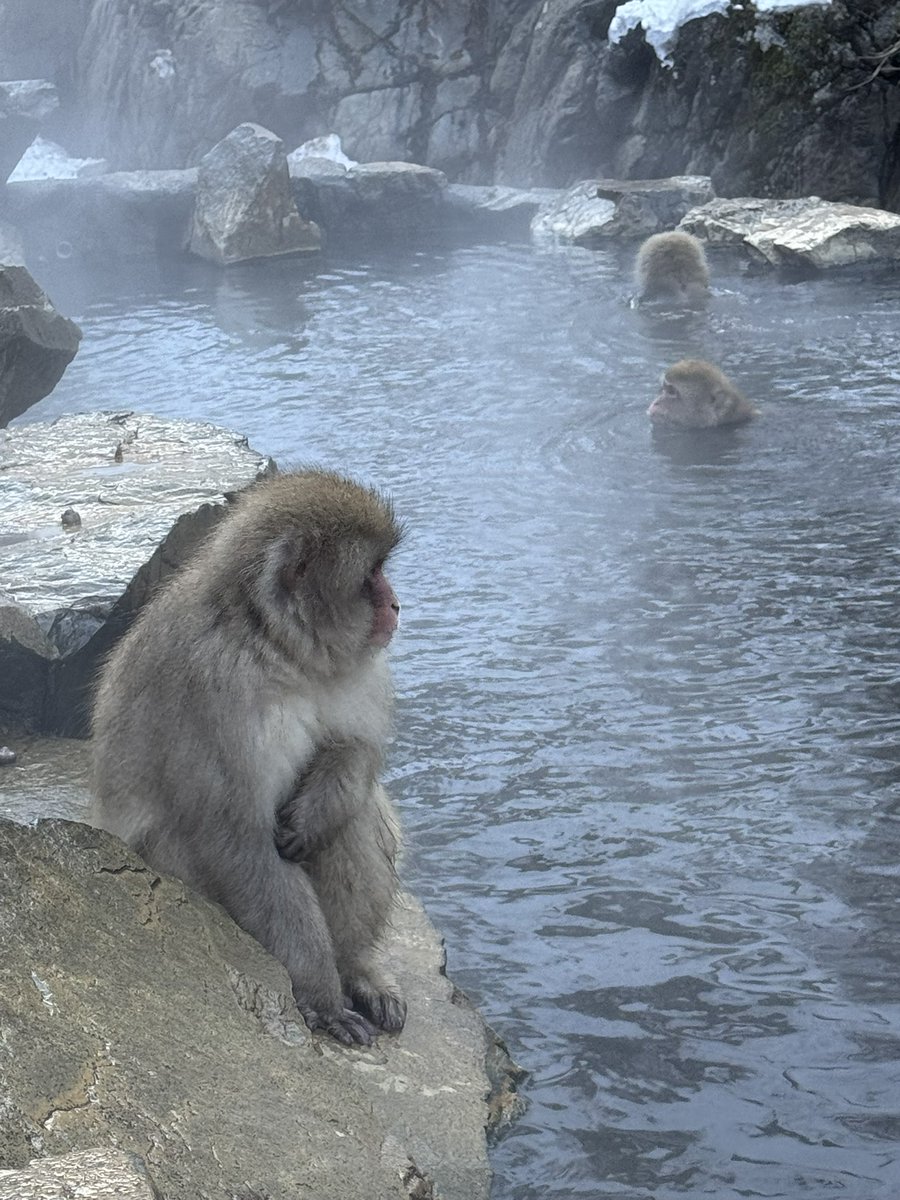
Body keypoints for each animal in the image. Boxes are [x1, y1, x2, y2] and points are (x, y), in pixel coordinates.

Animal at [91, 468, 407, 1046]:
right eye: (371, 574)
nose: (396, 605)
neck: (278, 647)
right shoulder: (216, 693)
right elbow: (240, 840)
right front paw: (321, 996)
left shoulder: (360, 670)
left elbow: (355, 750)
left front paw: (316, 812)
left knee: (351, 821)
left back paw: (357, 967)